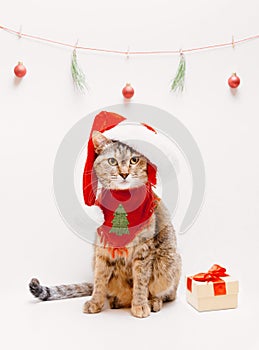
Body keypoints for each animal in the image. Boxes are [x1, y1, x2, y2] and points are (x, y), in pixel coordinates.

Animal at [29, 130, 182, 318]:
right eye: (112, 161)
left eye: (134, 160)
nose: (124, 174)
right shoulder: (102, 250)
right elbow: (100, 280)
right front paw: (95, 302)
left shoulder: (143, 250)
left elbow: (141, 282)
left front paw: (140, 304)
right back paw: (117, 301)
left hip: (168, 262)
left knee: (167, 294)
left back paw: (153, 301)